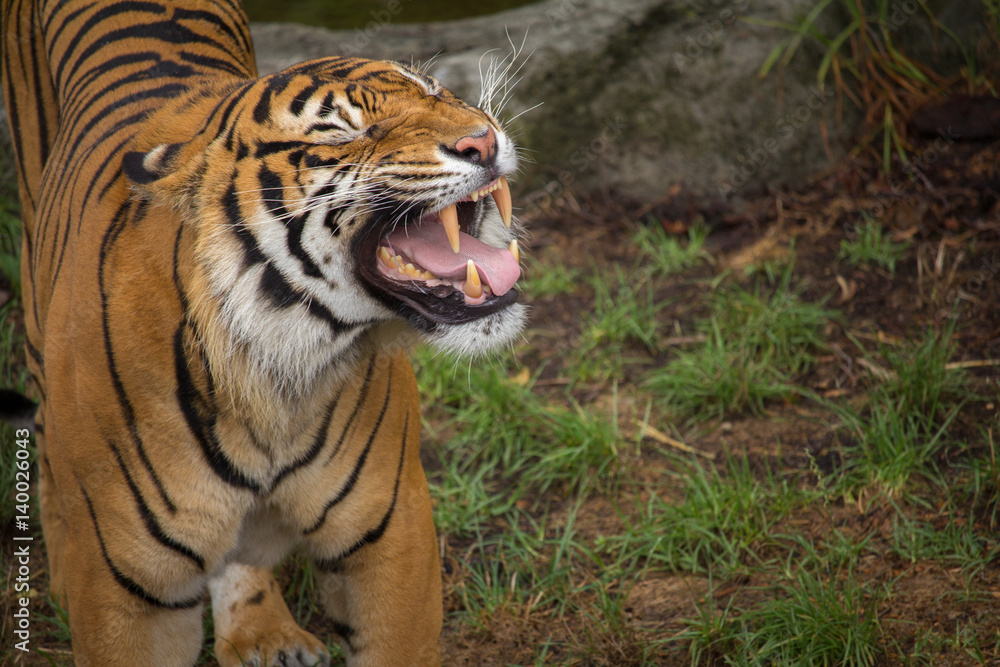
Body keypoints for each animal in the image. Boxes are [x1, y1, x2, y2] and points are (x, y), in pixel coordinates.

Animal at [0, 0, 528, 664]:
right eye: (342, 132)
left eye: (436, 91)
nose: (483, 139)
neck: (275, 376)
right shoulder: (128, 594)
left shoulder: (391, 533)